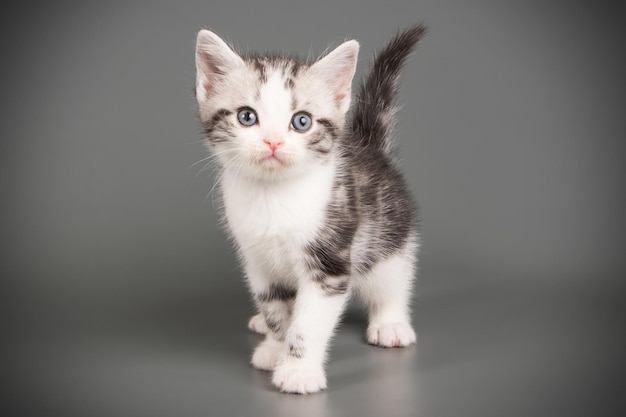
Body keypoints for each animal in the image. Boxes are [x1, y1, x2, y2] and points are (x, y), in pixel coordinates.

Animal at [191, 24, 424, 392]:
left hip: (388, 231)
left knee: (392, 277)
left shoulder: (329, 261)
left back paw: (390, 323)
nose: (273, 141)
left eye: (301, 122)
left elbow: (308, 322)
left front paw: (298, 371)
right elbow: (277, 310)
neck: (274, 195)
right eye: (246, 117)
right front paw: (275, 347)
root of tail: (371, 147)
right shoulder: (257, 261)